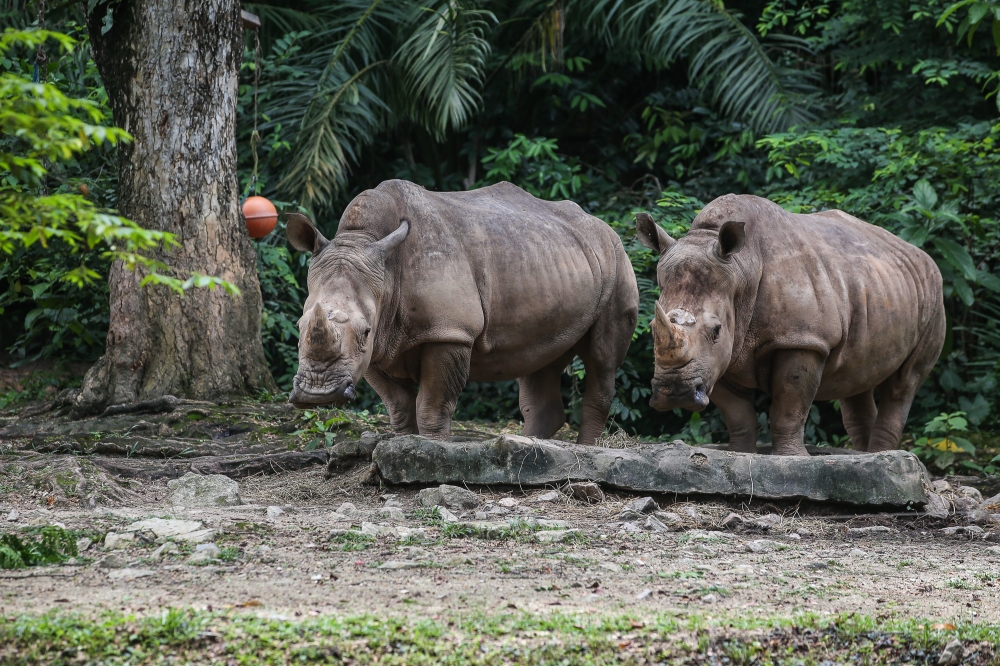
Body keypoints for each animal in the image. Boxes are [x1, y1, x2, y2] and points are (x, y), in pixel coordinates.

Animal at [286, 179, 639, 445]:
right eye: (299, 328)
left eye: (365, 331)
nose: (317, 393)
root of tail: (604, 226)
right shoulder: (378, 347)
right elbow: (398, 406)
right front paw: (404, 445)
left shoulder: (448, 332)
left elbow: (432, 405)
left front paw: (431, 452)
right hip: (553, 259)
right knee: (541, 358)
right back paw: (526, 444)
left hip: (617, 257)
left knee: (602, 359)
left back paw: (584, 449)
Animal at [635, 194, 945, 455]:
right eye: (651, 328)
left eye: (716, 331)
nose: (674, 393)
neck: (741, 269)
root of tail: (919, 254)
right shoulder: (719, 356)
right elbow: (737, 412)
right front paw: (741, 454)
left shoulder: (801, 339)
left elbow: (789, 403)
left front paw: (790, 458)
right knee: (858, 378)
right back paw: (865, 456)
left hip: (934, 294)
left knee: (905, 382)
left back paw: (881, 456)